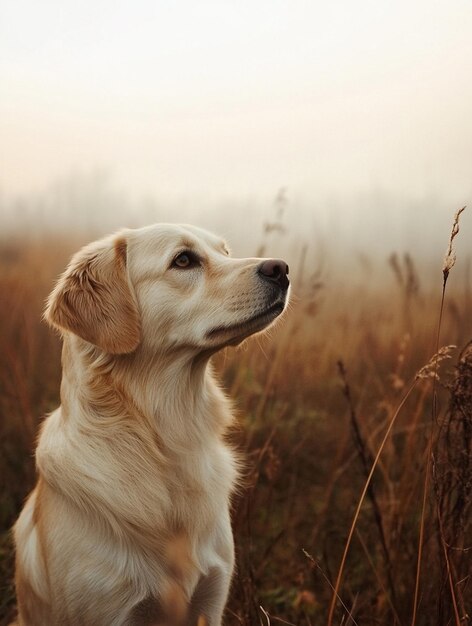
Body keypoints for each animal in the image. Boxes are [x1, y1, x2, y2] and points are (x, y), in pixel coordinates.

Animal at [12, 224, 290, 624]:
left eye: (225, 252)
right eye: (184, 260)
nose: (281, 269)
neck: (166, 437)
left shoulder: (211, 600)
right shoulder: (110, 609)